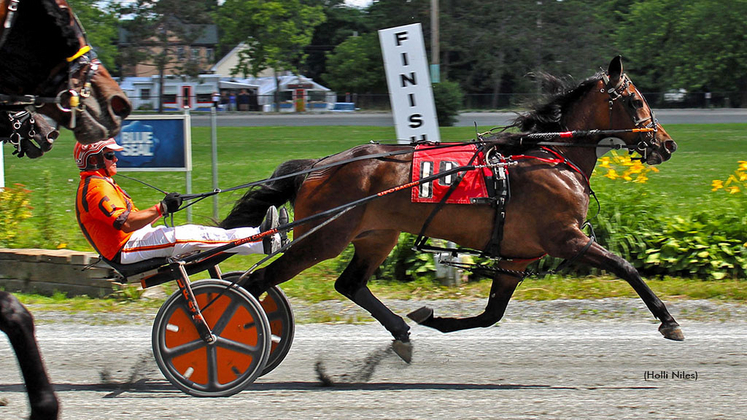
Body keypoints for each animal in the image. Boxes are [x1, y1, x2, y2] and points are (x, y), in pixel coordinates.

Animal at [221, 57, 684, 362]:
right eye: (636, 101)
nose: (666, 144)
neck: (550, 155)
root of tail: (317, 166)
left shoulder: (518, 256)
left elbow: (491, 314)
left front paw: (433, 318)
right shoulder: (565, 238)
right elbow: (625, 267)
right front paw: (668, 321)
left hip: (376, 236)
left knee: (349, 284)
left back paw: (401, 331)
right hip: (323, 238)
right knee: (257, 281)